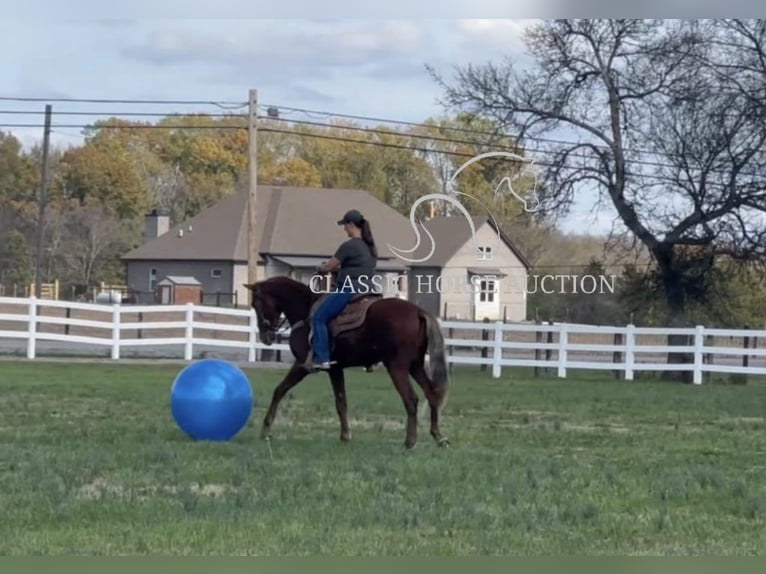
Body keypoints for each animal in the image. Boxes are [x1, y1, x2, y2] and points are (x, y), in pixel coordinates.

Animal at [244, 276, 450, 450]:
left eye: (256, 303)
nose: (266, 336)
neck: (305, 312)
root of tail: (418, 311)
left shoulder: (303, 365)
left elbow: (280, 390)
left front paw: (266, 430)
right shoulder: (336, 369)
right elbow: (341, 401)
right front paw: (345, 435)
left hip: (397, 367)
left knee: (411, 399)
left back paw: (410, 441)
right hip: (415, 366)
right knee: (432, 393)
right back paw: (438, 436)